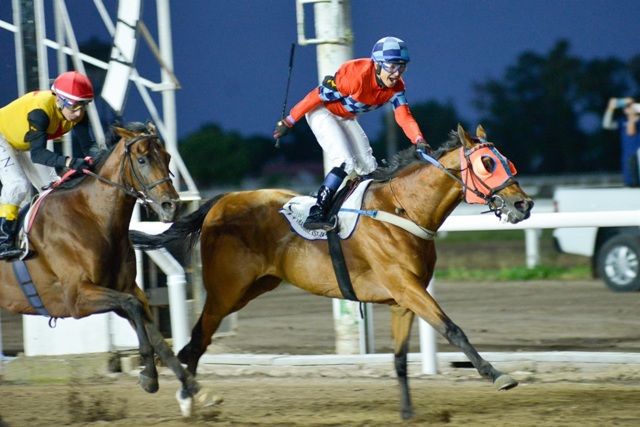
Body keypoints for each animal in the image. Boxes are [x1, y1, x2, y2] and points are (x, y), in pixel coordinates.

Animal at [0, 123, 201, 404]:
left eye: (168, 157)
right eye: (142, 159)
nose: (171, 206)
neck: (92, 217)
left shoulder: (126, 288)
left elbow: (154, 332)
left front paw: (192, 388)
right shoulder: (76, 298)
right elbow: (133, 307)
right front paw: (149, 375)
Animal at [130, 125, 536, 420]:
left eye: (508, 161)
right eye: (488, 163)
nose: (524, 204)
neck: (402, 209)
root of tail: (220, 201)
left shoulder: (403, 298)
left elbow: (400, 358)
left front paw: (407, 411)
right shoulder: (407, 287)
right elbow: (453, 329)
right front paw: (498, 375)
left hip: (252, 288)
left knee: (194, 342)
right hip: (225, 291)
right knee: (198, 340)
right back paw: (189, 399)